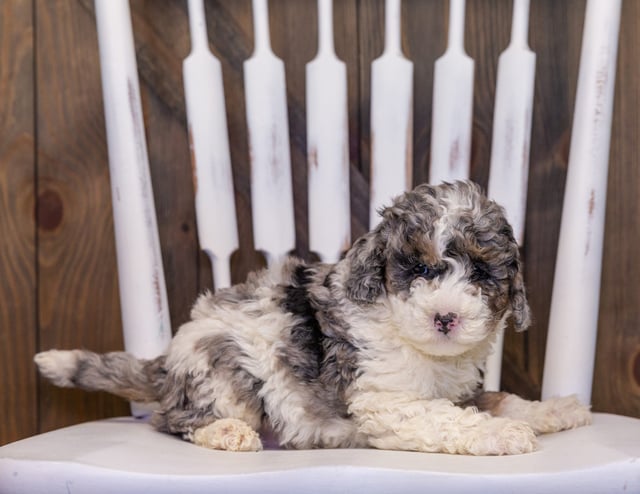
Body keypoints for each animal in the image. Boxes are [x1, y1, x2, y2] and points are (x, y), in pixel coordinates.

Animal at [35, 181, 592, 456]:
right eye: (415, 269)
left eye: (480, 271)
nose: (445, 318)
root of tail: (167, 362)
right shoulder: (385, 401)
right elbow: (446, 417)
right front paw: (504, 436)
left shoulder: (462, 389)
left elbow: (500, 399)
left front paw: (555, 411)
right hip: (224, 367)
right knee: (173, 421)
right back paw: (227, 434)